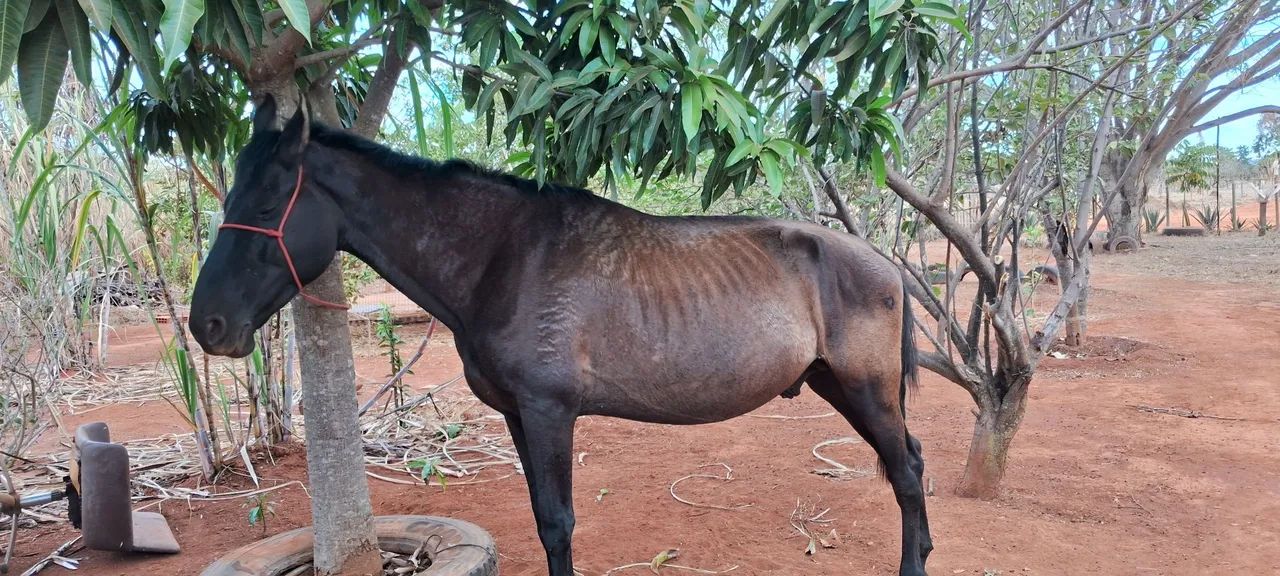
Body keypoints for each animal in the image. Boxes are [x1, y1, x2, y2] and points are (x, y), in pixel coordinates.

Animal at [189, 97, 933, 576]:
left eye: (266, 203)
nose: (208, 325)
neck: (502, 257)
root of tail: (884, 263)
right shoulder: (519, 415)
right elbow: (544, 521)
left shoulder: (550, 411)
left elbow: (558, 522)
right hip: (838, 385)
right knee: (911, 464)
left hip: (867, 390)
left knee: (904, 471)